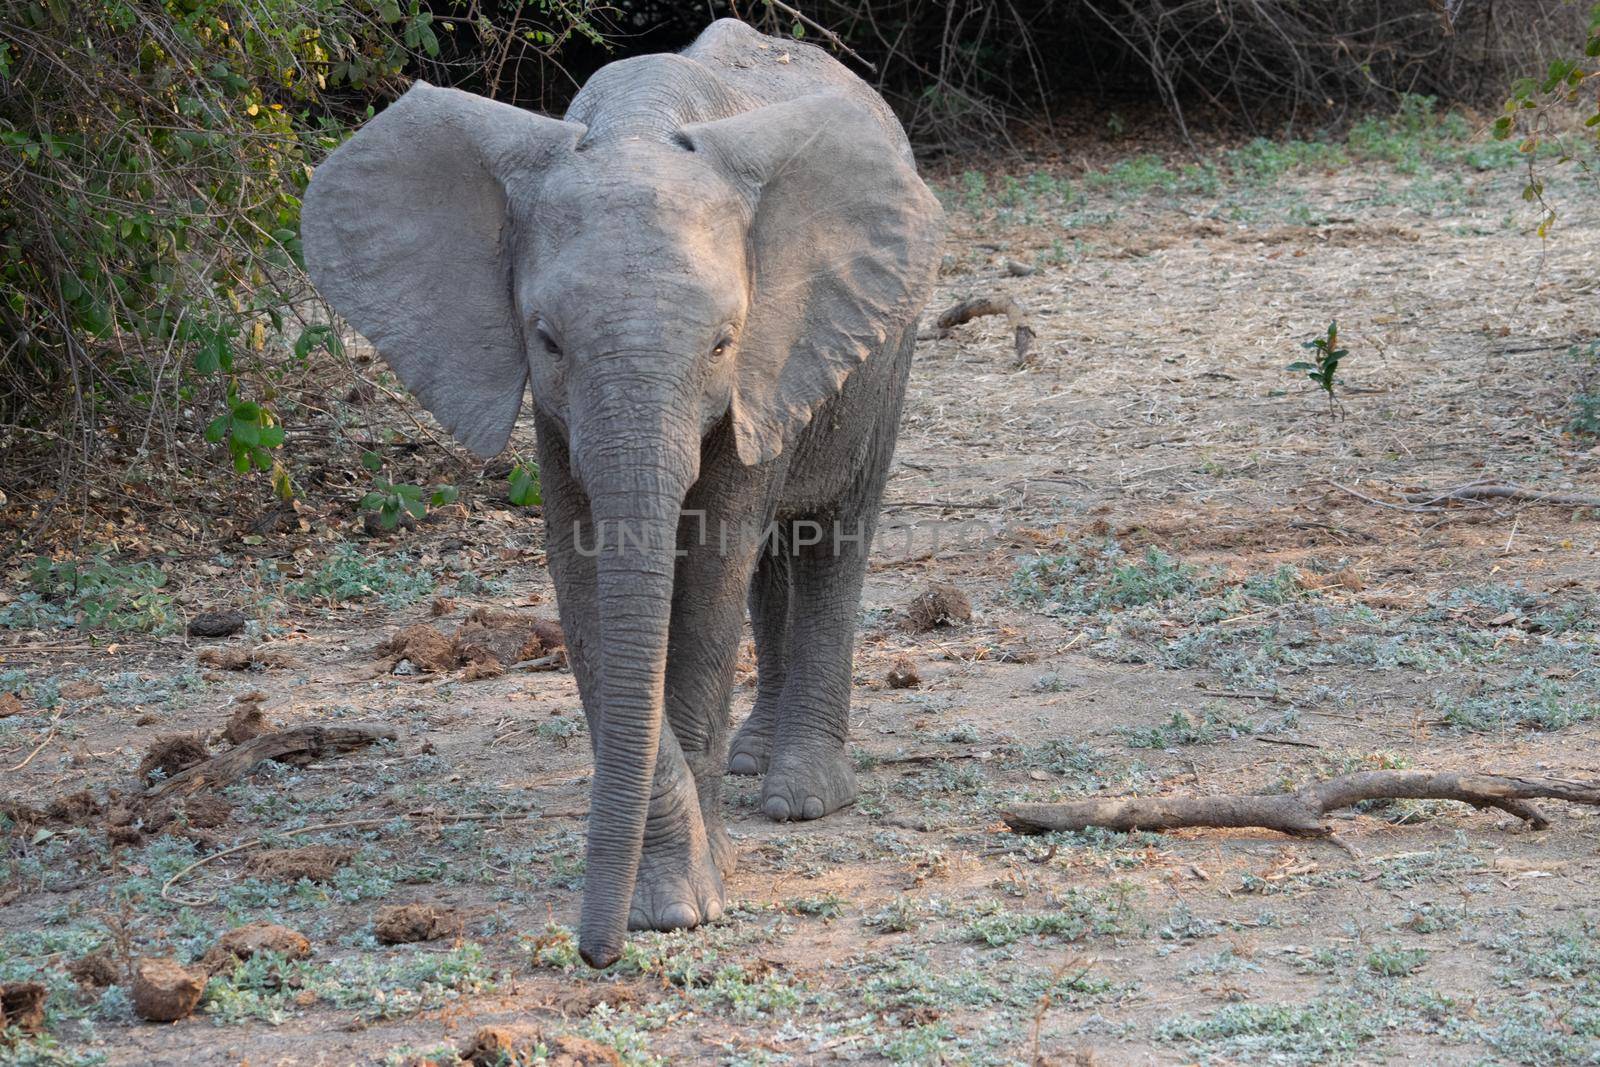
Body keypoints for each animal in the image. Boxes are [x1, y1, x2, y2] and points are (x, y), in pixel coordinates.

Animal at [302, 16, 934, 966]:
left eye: (722, 342)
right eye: (547, 339)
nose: (592, 953)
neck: (640, 125)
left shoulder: (765, 356)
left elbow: (707, 575)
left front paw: (689, 900)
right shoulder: (552, 412)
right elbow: (586, 581)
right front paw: (668, 901)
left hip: (881, 341)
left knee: (831, 537)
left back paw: (800, 797)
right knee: (775, 561)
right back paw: (752, 764)